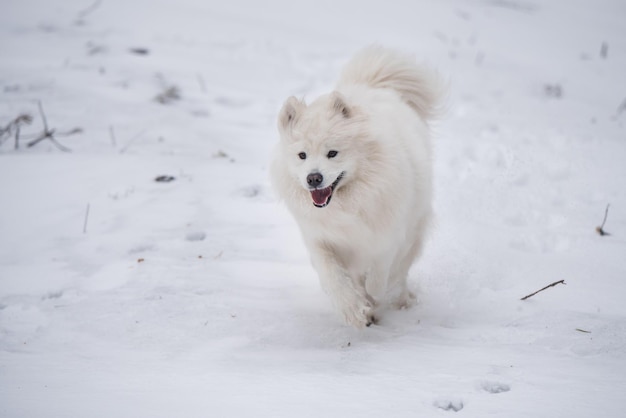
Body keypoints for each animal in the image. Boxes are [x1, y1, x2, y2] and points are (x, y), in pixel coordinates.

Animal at [270, 45, 442, 326]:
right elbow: (334, 277)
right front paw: (353, 309)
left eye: (332, 153)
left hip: (414, 229)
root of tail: (372, 84)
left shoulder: (387, 235)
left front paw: (372, 299)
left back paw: (401, 300)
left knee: (399, 273)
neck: (347, 205)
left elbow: (378, 276)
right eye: (302, 155)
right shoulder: (320, 239)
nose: (313, 178)